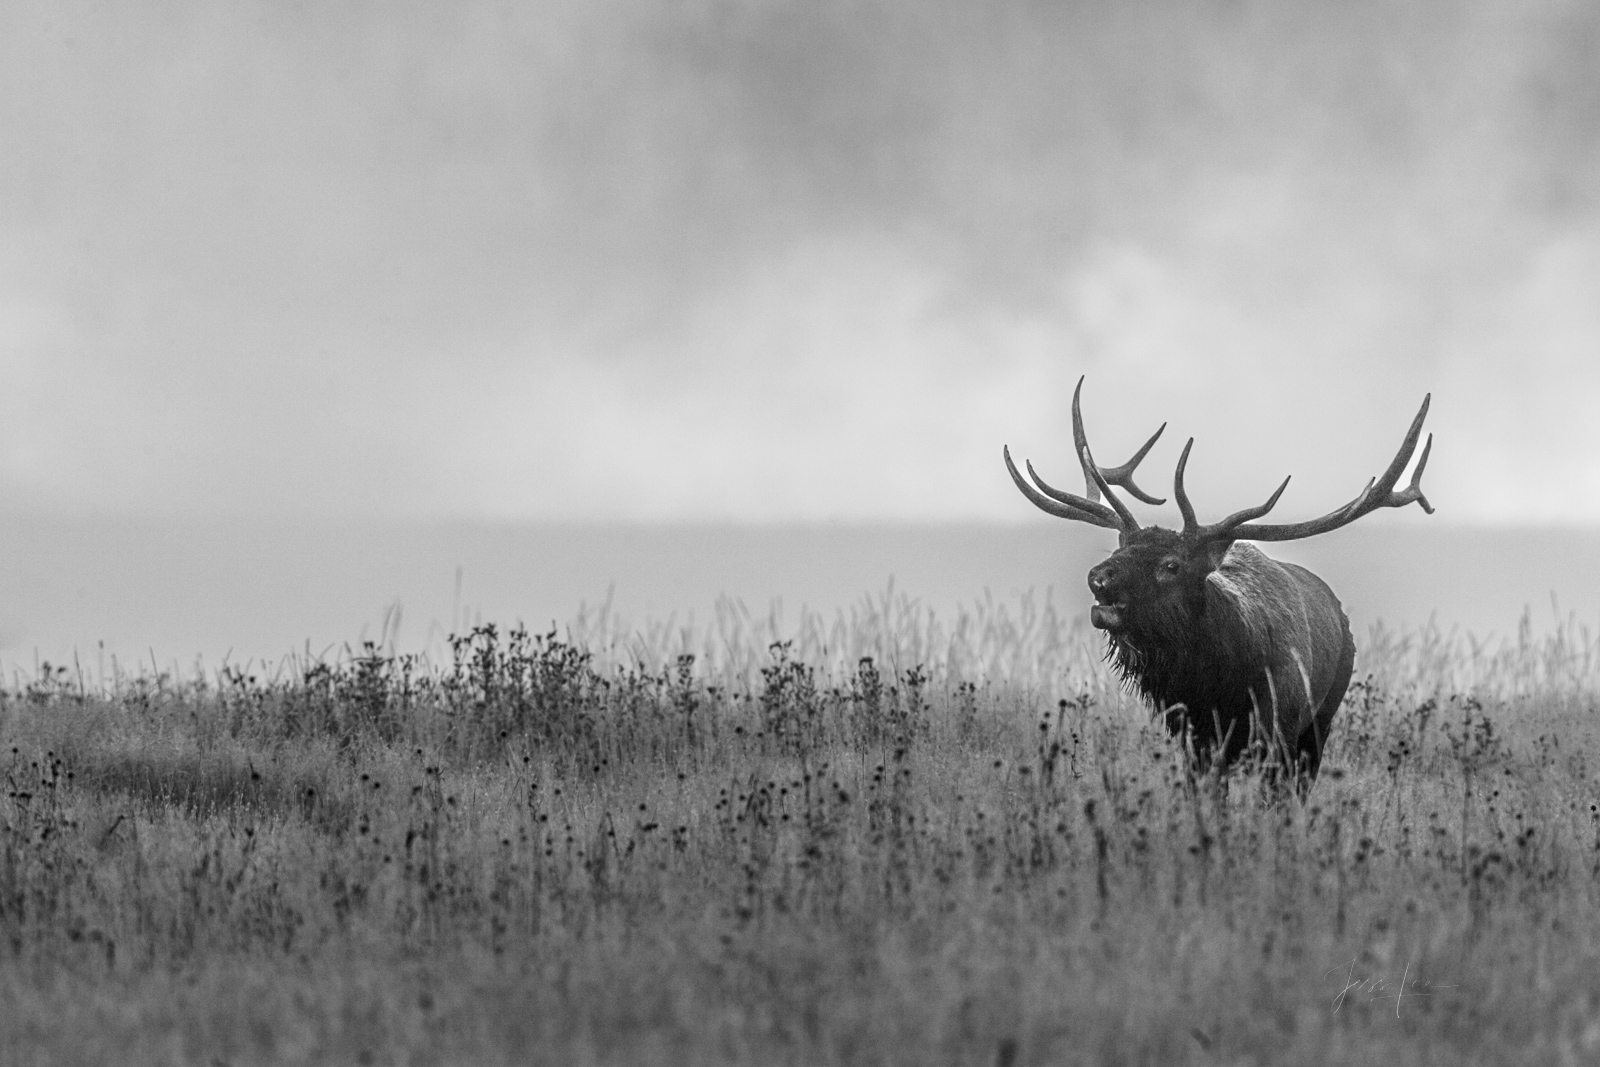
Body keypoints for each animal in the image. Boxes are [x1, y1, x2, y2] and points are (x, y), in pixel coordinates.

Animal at [998, 377, 1440, 793]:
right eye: (1121, 545)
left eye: (1172, 565)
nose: (1099, 578)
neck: (1218, 685)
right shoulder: (1192, 737)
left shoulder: (1279, 732)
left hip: (1321, 720)